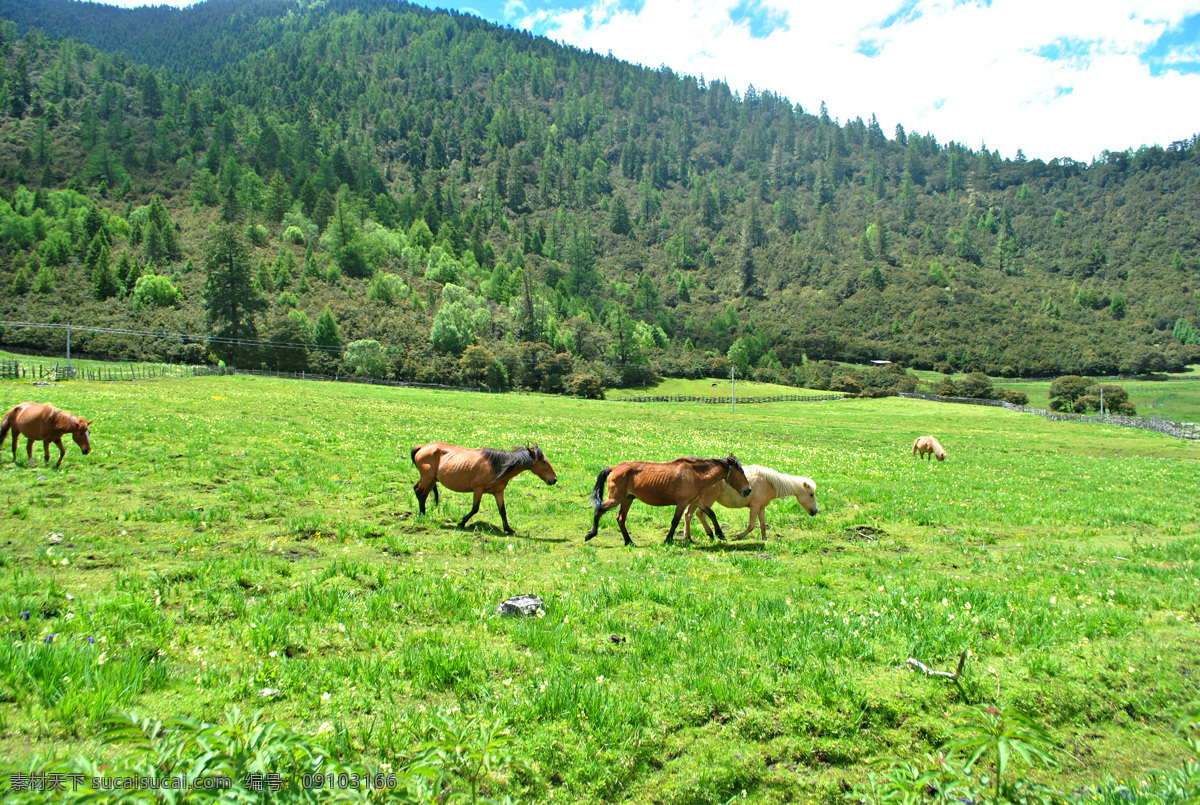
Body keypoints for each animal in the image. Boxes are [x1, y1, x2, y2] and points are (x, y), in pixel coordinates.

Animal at [409, 442, 557, 534]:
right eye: (544, 461)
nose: (554, 479)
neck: (496, 466)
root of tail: (422, 447)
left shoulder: (498, 492)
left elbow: (502, 511)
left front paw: (508, 529)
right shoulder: (478, 490)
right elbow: (475, 509)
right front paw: (462, 523)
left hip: (432, 480)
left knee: (422, 494)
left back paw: (423, 514)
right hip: (427, 478)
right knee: (418, 491)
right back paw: (422, 516)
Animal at [584, 455, 751, 546]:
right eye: (741, 472)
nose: (748, 490)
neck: (695, 474)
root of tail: (613, 468)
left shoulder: (696, 500)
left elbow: (711, 513)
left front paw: (720, 534)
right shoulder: (682, 503)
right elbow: (675, 521)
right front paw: (668, 539)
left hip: (627, 499)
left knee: (620, 518)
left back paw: (629, 541)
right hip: (615, 498)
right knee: (599, 510)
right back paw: (591, 534)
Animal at [684, 465, 818, 542]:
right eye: (811, 494)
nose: (815, 511)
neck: (768, 482)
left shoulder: (761, 507)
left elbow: (763, 525)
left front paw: (764, 539)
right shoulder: (755, 506)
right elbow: (752, 525)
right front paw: (738, 537)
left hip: (697, 500)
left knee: (688, 514)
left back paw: (689, 537)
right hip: (708, 499)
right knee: (700, 514)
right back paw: (712, 534)